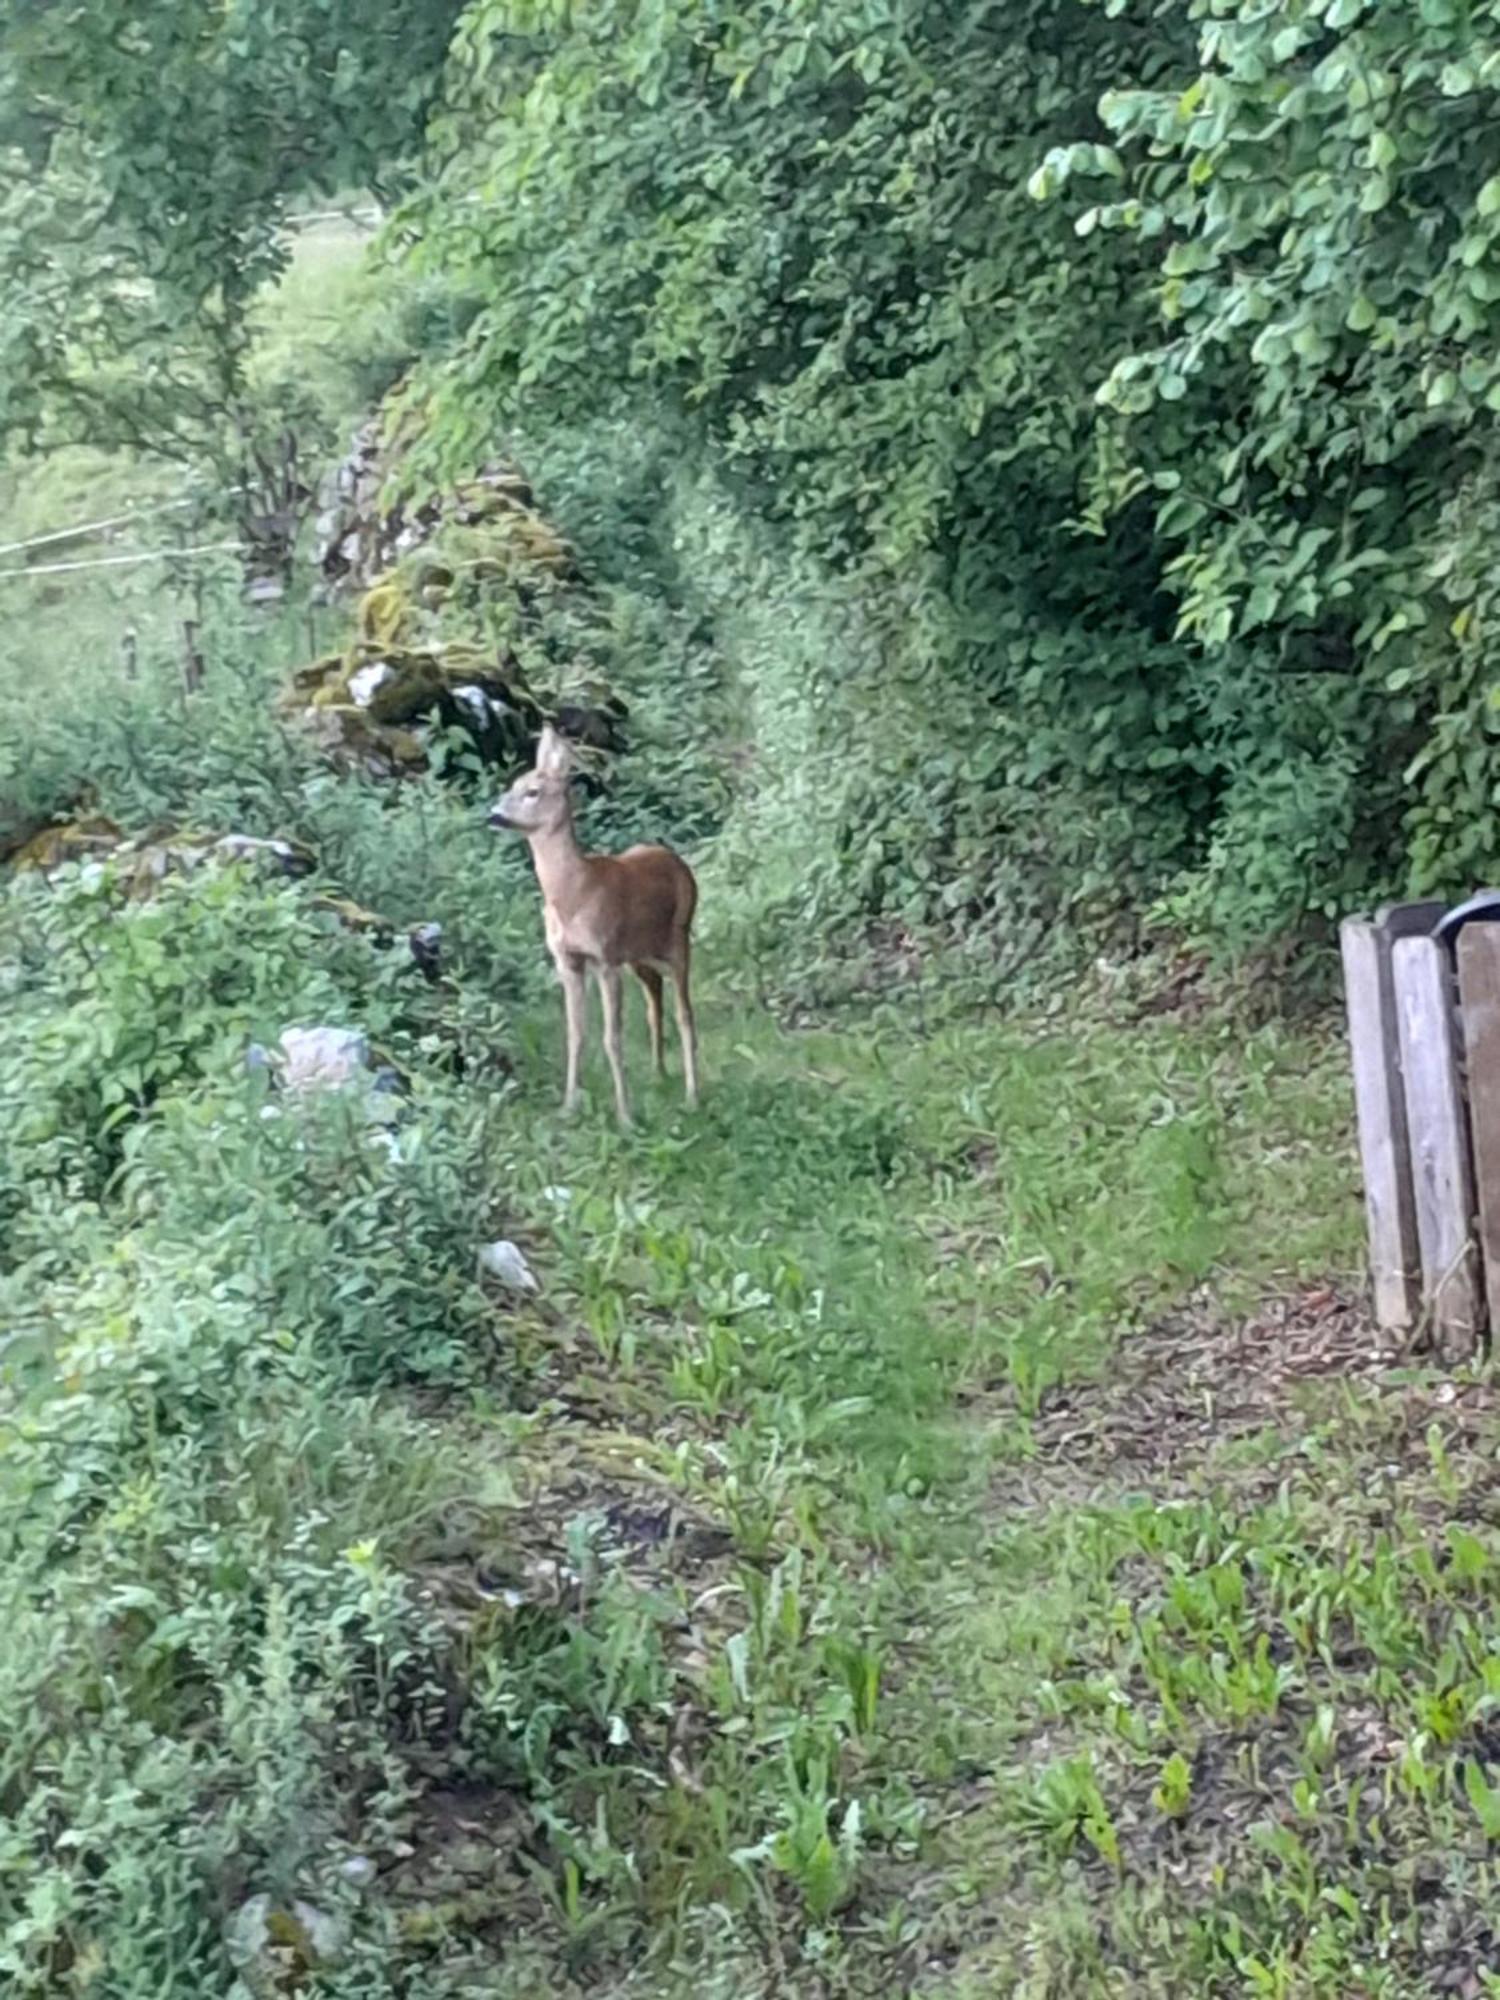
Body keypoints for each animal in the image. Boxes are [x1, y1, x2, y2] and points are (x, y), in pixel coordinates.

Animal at [494, 724, 704, 1128]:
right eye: (512, 785)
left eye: (533, 791)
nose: (493, 813)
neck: (574, 893)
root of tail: (676, 859)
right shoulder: (568, 960)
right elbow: (575, 1034)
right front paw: (568, 1106)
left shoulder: (605, 958)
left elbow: (612, 1037)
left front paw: (625, 1116)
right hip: (638, 953)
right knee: (654, 998)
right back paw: (658, 1073)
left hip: (679, 937)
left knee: (685, 1013)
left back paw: (691, 1095)